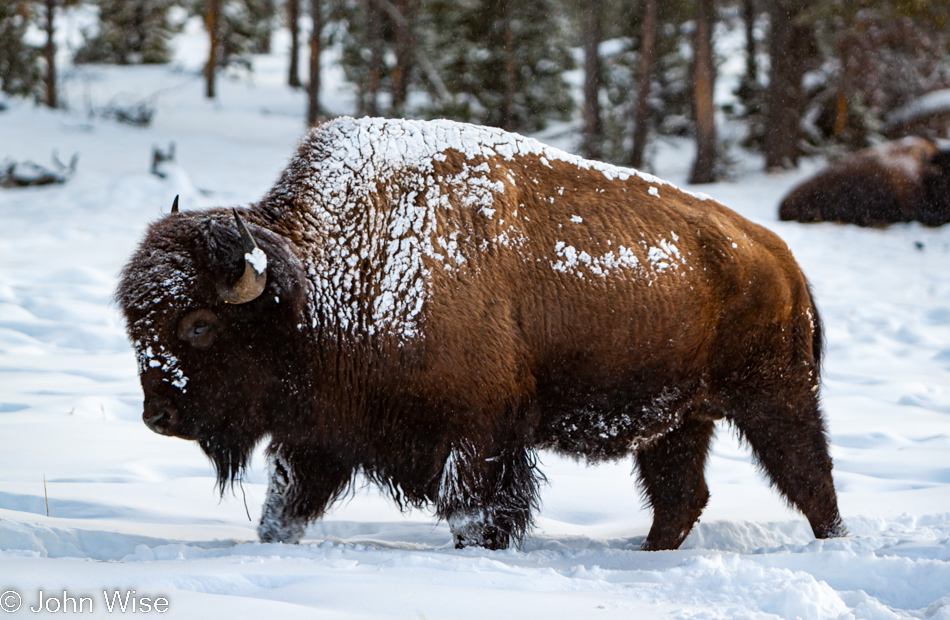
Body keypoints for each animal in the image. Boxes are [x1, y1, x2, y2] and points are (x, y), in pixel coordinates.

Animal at [119, 117, 848, 552]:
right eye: (135, 324)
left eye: (199, 323)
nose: (159, 416)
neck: (316, 282)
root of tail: (781, 260)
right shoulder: (321, 434)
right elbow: (283, 510)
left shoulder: (476, 436)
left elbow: (478, 513)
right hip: (678, 421)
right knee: (681, 495)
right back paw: (650, 554)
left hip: (772, 398)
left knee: (809, 475)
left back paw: (833, 542)